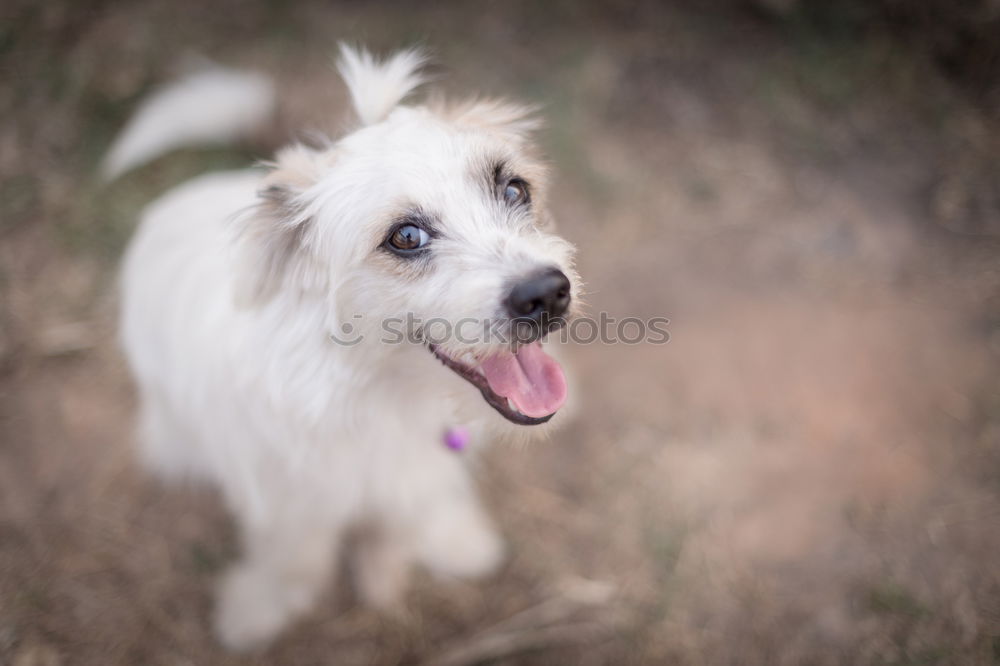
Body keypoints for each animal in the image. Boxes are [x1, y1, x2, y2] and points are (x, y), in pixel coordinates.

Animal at [111, 46, 580, 648]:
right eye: (406, 236)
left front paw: (428, 550)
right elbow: (295, 558)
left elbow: (409, 511)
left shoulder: (414, 471)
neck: (373, 391)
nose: (546, 293)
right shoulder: (285, 500)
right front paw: (259, 608)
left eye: (514, 190)